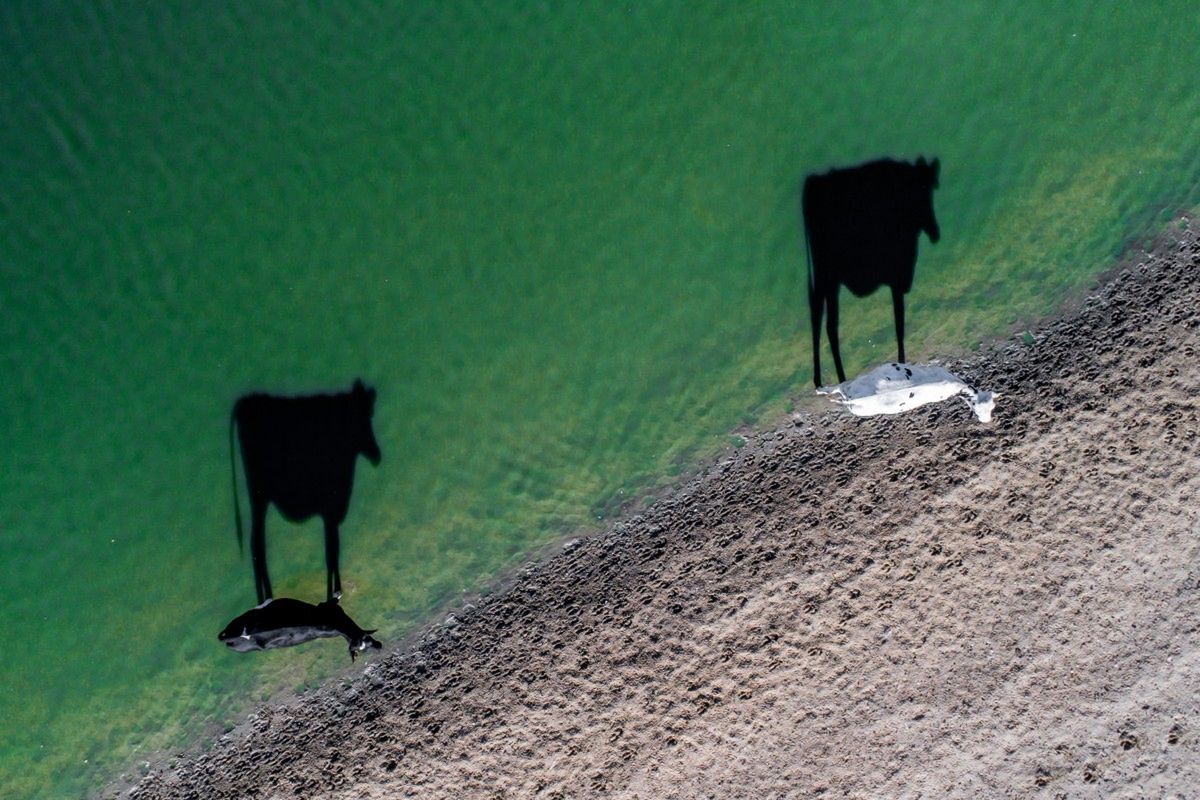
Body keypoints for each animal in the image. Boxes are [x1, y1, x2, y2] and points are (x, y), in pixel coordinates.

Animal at [231, 381, 381, 599]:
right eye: (361, 418)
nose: (377, 454)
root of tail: (247, 401)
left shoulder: (331, 511)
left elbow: (333, 549)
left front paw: (336, 590)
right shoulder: (330, 508)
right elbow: (331, 551)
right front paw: (334, 593)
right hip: (260, 495)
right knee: (257, 544)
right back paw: (266, 597)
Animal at [801, 157, 940, 388]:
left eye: (929, 190)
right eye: (919, 192)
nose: (935, 232)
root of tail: (812, 182)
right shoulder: (897, 274)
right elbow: (899, 321)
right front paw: (902, 362)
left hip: (824, 278)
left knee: (817, 316)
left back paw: (819, 379)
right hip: (828, 276)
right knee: (829, 323)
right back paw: (840, 377)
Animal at [816, 364, 993, 424]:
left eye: (991, 409)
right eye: (979, 411)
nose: (987, 421)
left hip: (852, 390)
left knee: (836, 389)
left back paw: (821, 390)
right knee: (837, 387)